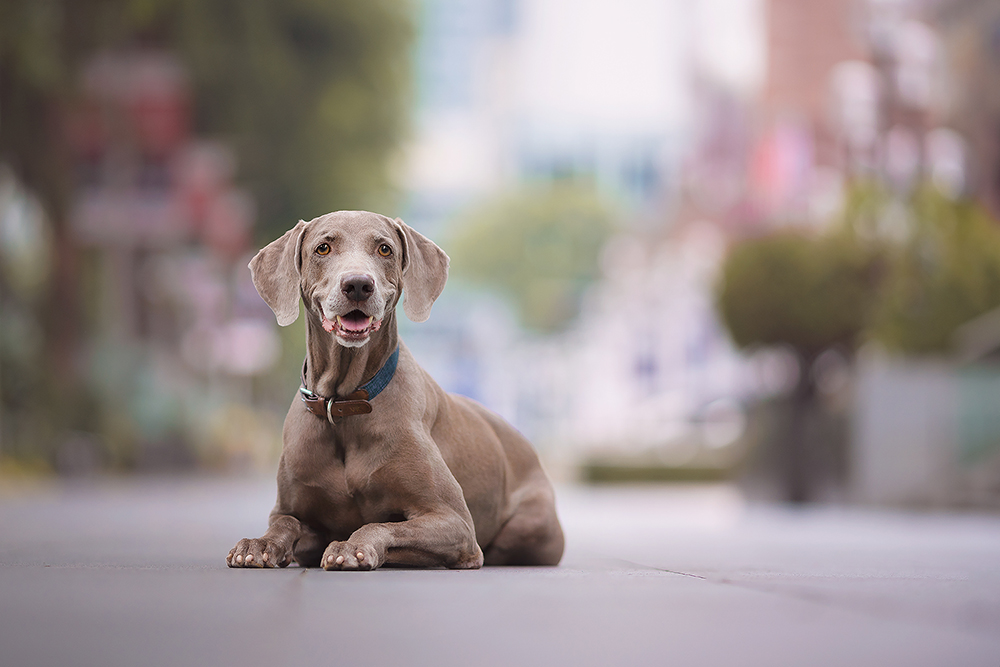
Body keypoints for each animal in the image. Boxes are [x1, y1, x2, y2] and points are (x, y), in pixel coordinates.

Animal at [229, 211, 568, 572]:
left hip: (530, 526)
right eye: (323, 248)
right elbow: (286, 523)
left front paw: (351, 547)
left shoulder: (455, 522)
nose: (358, 285)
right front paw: (258, 544)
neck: (344, 402)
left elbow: (381, 525)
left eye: (384, 249)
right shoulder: (291, 509)